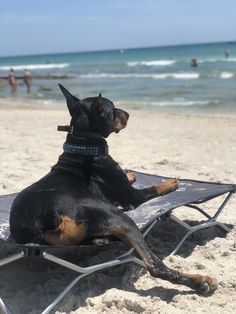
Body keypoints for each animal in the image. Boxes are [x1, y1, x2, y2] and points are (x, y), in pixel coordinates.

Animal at [10, 84, 218, 294]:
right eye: (113, 110)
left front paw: (131, 174)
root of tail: (44, 217)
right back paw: (201, 281)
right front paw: (171, 183)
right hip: (122, 219)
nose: (128, 113)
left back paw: (100, 240)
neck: (82, 146)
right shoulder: (132, 197)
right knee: (155, 267)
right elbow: (153, 188)